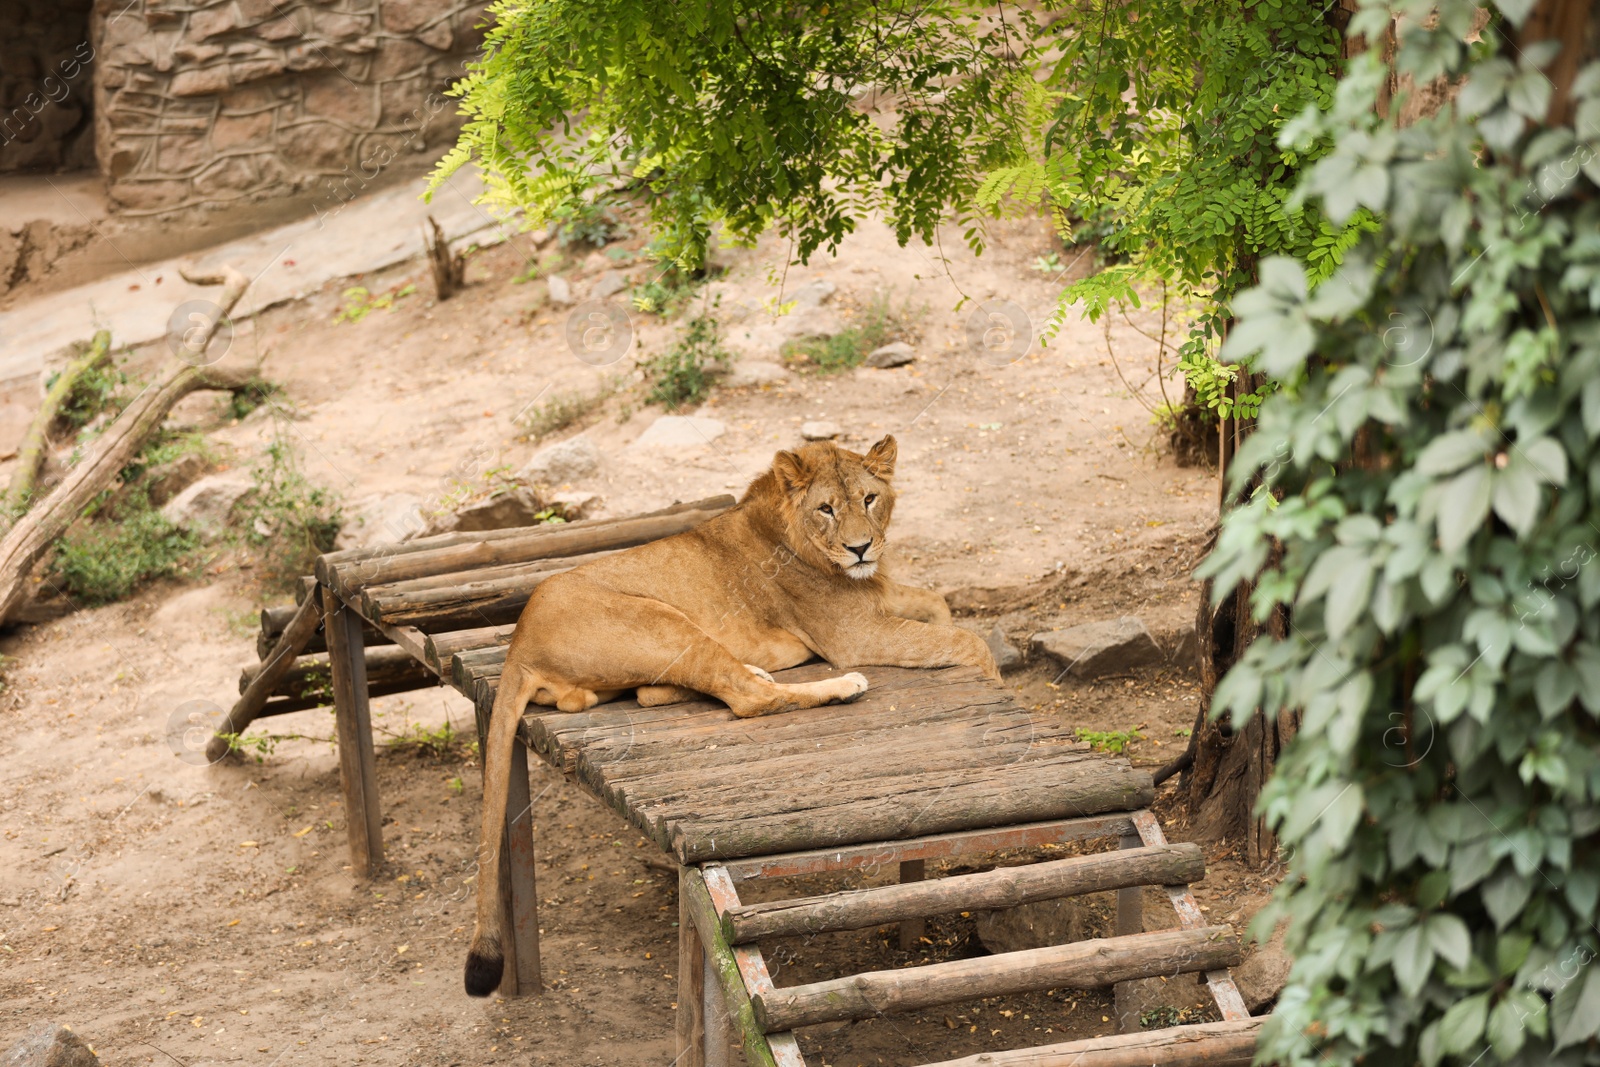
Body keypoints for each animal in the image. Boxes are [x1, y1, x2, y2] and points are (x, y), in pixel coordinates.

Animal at [457, 431, 998, 991]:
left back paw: (753, 669)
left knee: (667, 691)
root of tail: (518, 641)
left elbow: (940, 605)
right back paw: (838, 686)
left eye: (869, 499)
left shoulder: (884, 597)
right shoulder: (857, 634)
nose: (860, 548)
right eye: (826, 508)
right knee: (745, 697)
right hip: (666, 622)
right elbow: (969, 641)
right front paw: (995, 679)